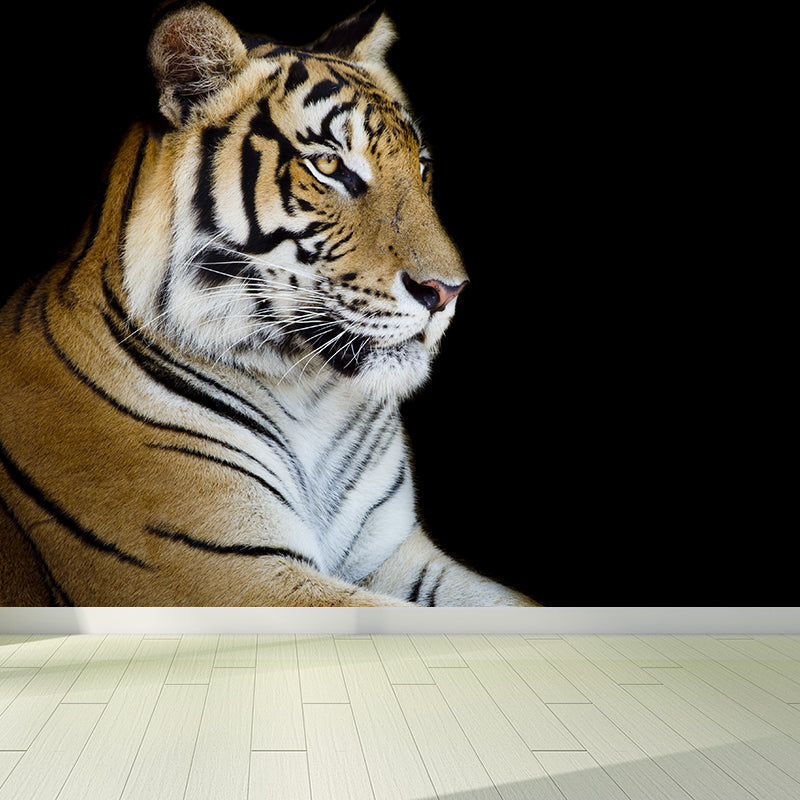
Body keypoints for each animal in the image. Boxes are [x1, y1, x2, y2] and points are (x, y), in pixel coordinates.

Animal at [0, 2, 537, 606]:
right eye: (330, 167)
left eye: (420, 166)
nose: (447, 291)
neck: (309, 395)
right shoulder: (230, 570)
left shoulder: (393, 554)